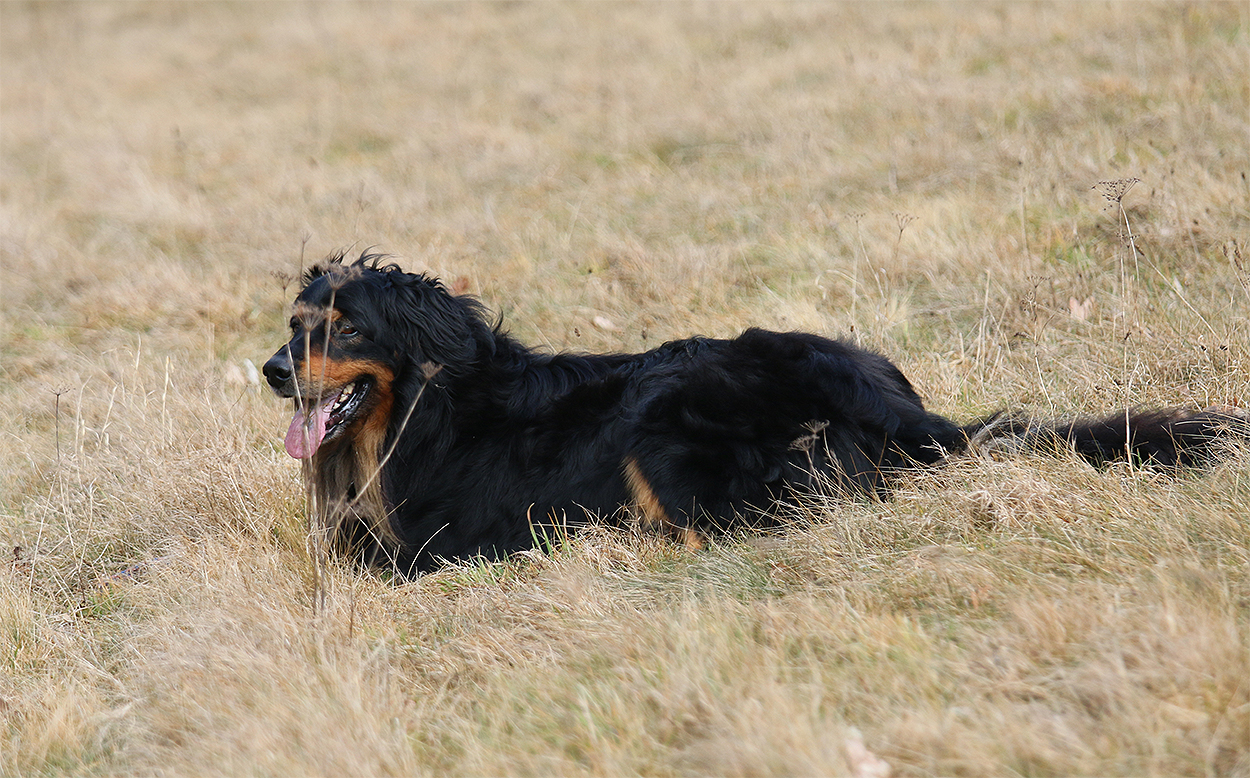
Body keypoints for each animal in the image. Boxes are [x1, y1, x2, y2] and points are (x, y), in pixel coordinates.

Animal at [263, 252, 1245, 574]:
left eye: (348, 327)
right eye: (294, 325)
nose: (270, 371)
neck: (431, 404)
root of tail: (903, 407)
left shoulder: (439, 543)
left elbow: (357, 562)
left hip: (666, 421)